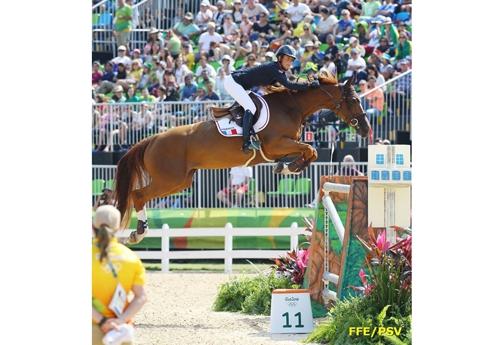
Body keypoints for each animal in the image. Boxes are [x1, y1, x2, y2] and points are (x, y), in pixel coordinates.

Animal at [114, 70, 372, 242]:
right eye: (353, 100)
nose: (365, 129)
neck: (291, 107)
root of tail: (152, 139)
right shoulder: (275, 145)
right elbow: (311, 150)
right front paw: (290, 167)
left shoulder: (284, 146)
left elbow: (309, 151)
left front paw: (286, 167)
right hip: (170, 180)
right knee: (138, 196)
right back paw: (139, 232)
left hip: (180, 182)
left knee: (141, 196)